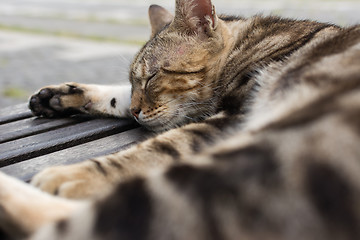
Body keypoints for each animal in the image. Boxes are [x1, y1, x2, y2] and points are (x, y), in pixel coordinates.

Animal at [0, 0, 360, 239]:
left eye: (152, 77)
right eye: (134, 81)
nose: (136, 112)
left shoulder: (231, 115)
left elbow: (160, 147)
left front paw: (77, 174)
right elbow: (118, 97)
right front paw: (61, 96)